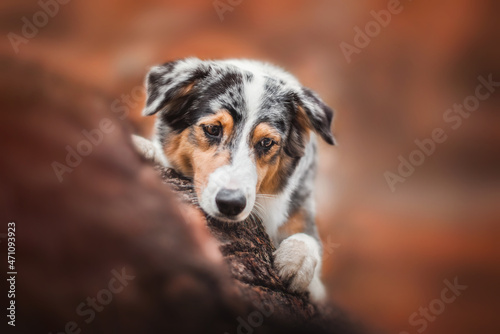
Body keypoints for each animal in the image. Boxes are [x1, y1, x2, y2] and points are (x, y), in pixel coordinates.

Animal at [135, 58, 334, 302]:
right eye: (213, 129)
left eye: (266, 142)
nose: (230, 204)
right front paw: (145, 148)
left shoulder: (300, 204)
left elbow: (308, 238)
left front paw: (298, 260)